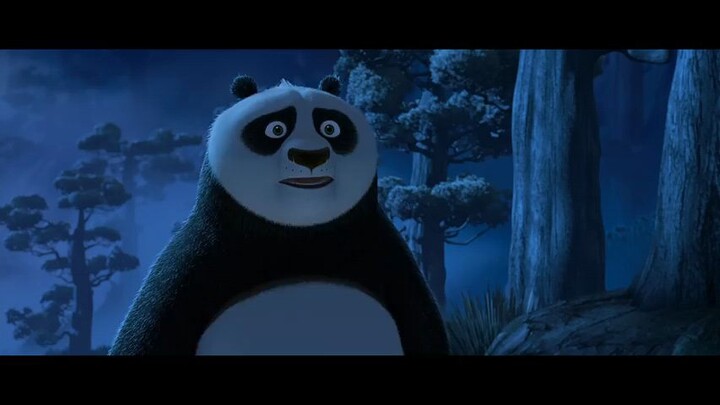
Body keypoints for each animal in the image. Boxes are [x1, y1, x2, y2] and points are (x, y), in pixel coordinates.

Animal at [109, 74, 449, 355]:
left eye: (331, 127)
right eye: (275, 129)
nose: (311, 156)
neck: (299, 236)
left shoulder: (386, 259)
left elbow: (424, 326)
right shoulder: (193, 263)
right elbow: (147, 334)